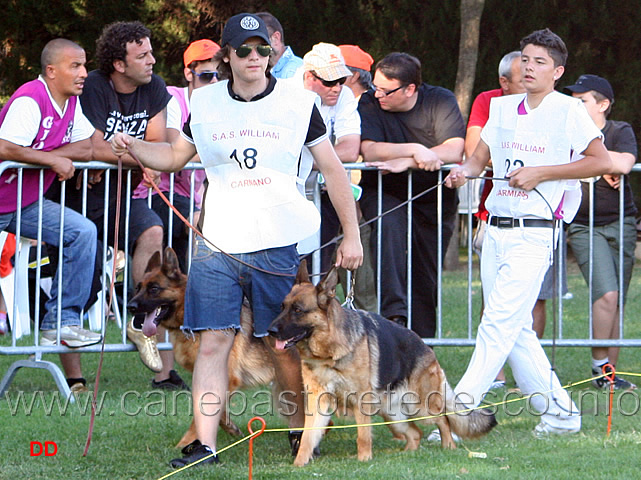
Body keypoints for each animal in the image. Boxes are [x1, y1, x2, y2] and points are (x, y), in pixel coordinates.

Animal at [126, 249, 274, 448]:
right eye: (138, 288)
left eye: (154, 289)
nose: (130, 306)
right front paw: (230, 428)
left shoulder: (229, 377)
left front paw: (186, 442)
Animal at [268, 262, 498, 464]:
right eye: (282, 307)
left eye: (298, 310)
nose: (270, 331)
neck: (328, 353)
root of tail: (425, 346)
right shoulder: (318, 403)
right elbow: (308, 438)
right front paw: (298, 464)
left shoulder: (360, 401)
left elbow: (363, 435)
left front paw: (364, 460)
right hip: (392, 415)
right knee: (415, 433)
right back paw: (406, 455)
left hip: (421, 408)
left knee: (443, 419)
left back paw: (448, 446)